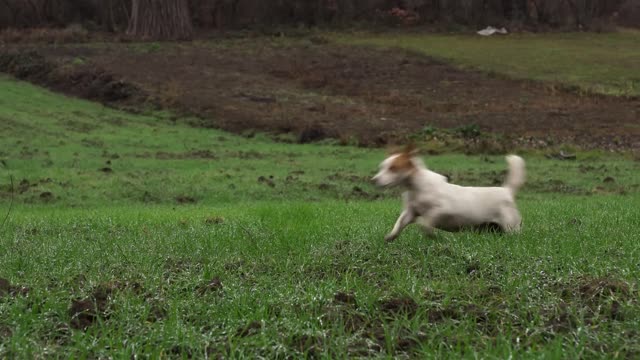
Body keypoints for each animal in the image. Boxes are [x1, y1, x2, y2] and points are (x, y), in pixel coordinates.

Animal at [376, 146, 524, 242]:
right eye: (382, 167)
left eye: (393, 168)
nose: (374, 180)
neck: (417, 187)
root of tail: (507, 190)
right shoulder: (410, 212)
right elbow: (400, 223)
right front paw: (391, 236)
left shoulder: (442, 210)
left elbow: (425, 223)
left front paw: (431, 234)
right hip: (492, 228)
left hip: (510, 227)